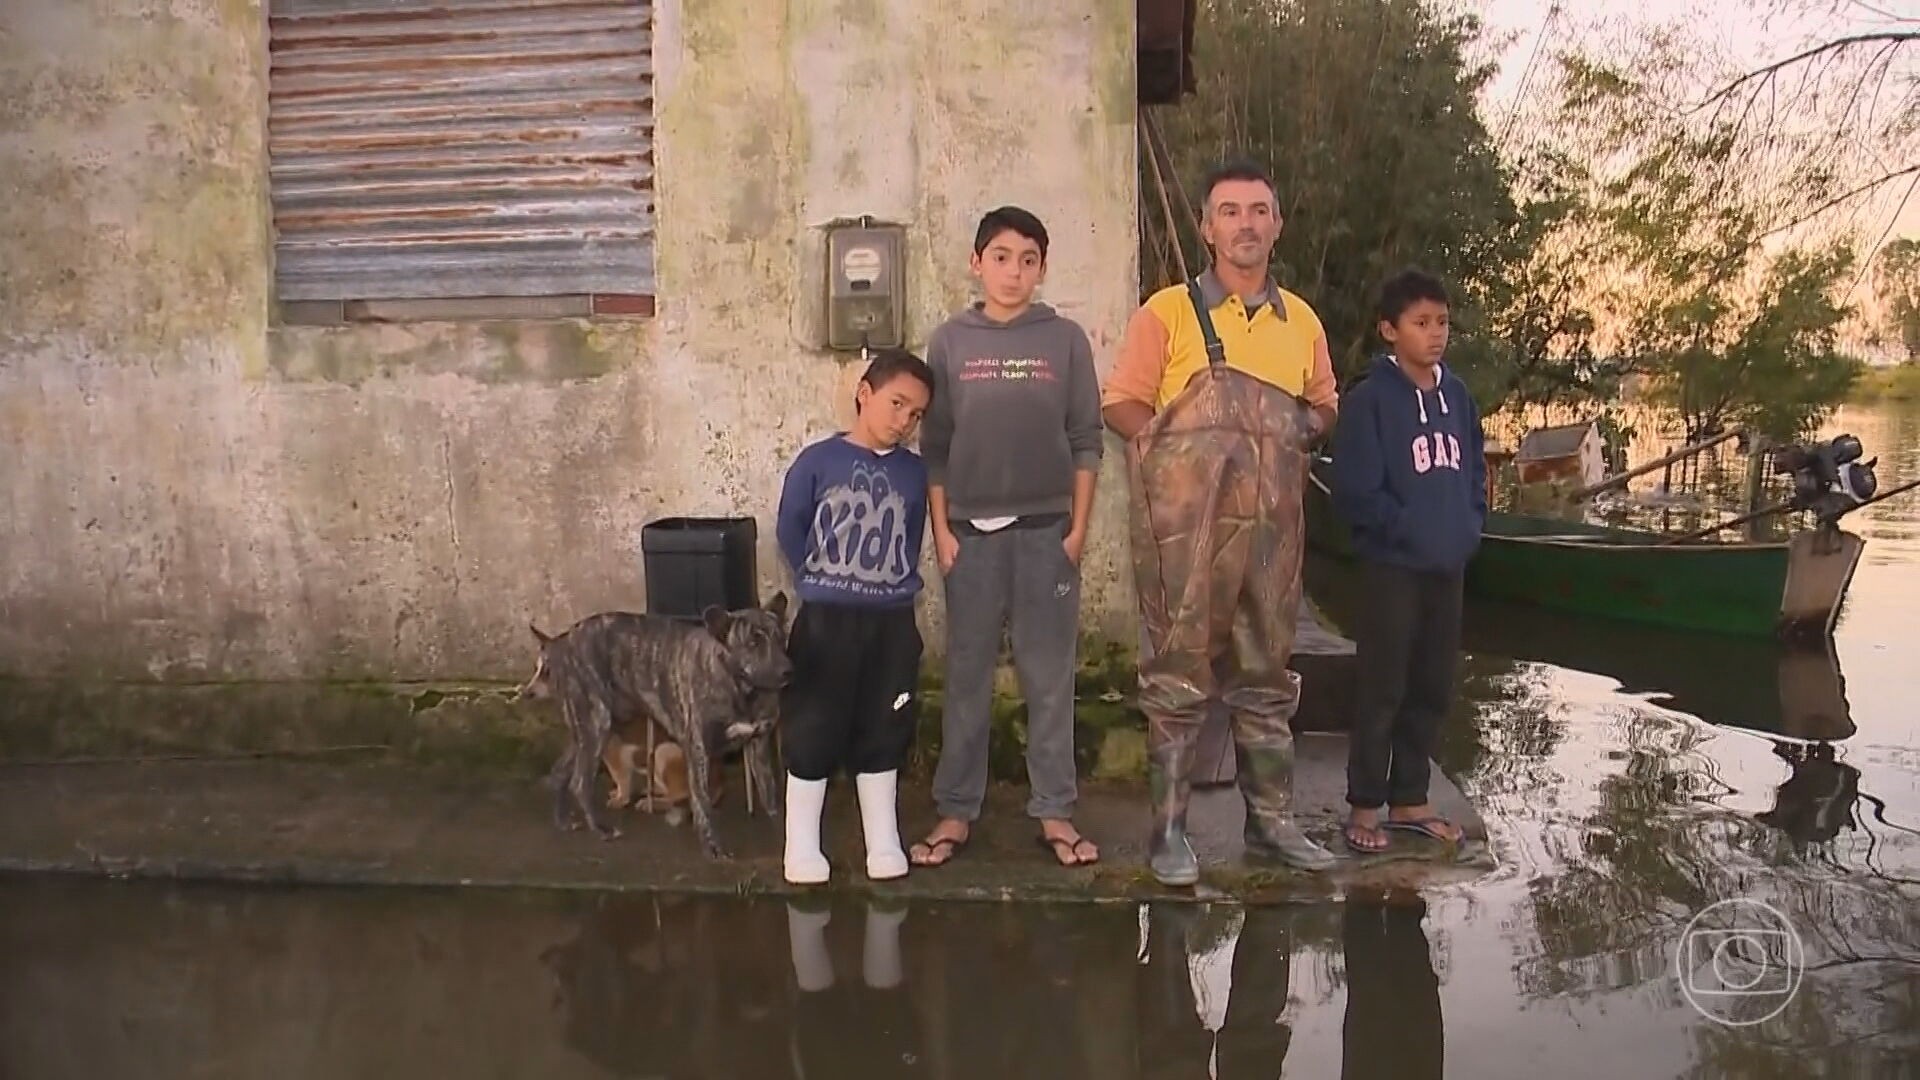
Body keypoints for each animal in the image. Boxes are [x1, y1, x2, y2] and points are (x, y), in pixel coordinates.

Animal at [514, 591, 791, 853]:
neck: (742, 689)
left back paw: (563, 821)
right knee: (580, 783)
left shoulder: (759, 748)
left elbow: (771, 797)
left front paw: (782, 836)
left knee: (560, 772)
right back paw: (603, 829)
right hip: (599, 726)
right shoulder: (698, 752)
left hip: (586, 731)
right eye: (753, 643)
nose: (788, 670)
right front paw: (713, 848)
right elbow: (702, 806)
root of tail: (562, 643)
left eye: (781, 638)